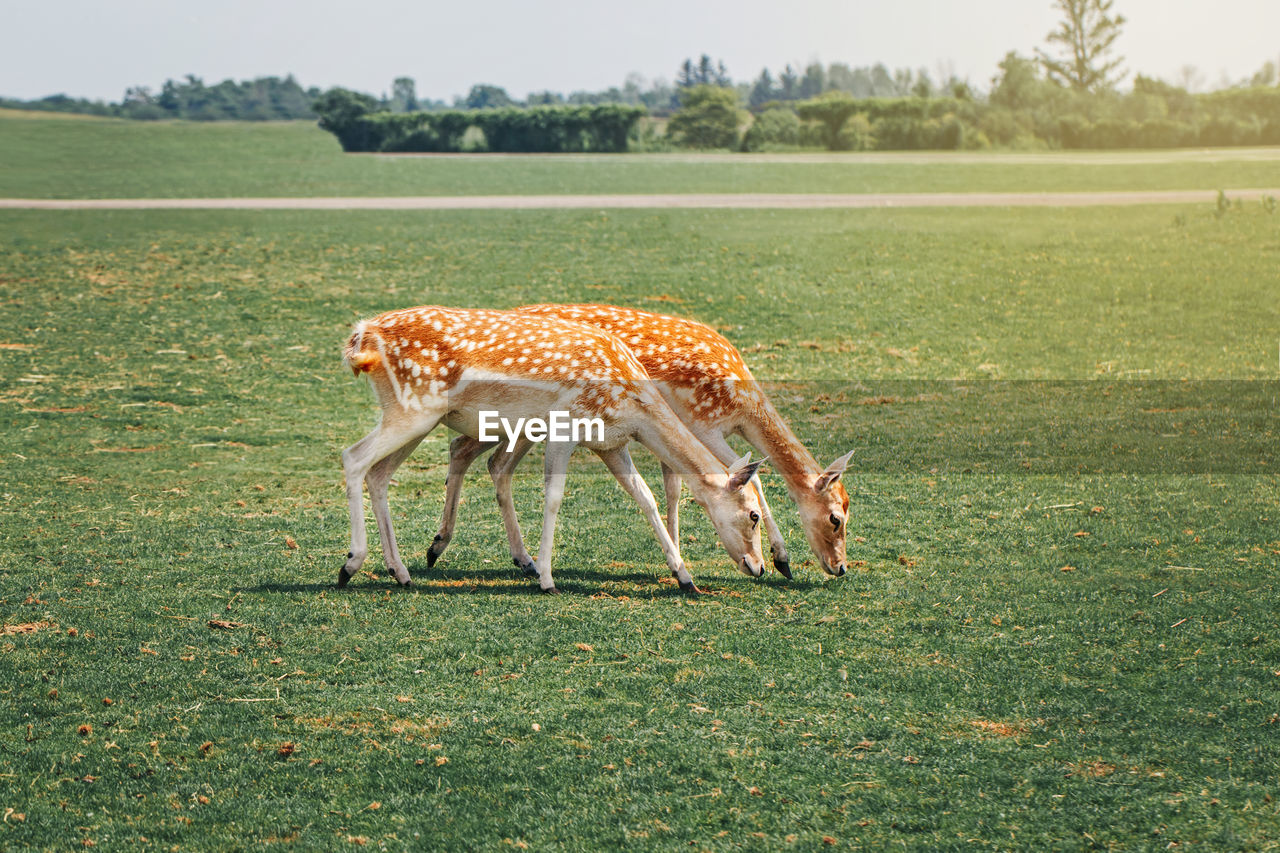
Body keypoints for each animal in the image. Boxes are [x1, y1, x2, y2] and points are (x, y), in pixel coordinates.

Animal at [335, 303, 762, 591]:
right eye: (755, 514)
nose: (758, 567)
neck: (634, 407)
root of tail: (362, 336)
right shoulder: (565, 426)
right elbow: (554, 496)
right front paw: (546, 578)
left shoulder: (609, 443)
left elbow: (645, 497)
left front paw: (684, 576)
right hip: (413, 410)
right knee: (354, 457)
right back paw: (350, 565)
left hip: (415, 415)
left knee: (379, 474)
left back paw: (401, 572)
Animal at [424, 303, 855, 578]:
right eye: (836, 519)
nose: (841, 568)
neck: (742, 406)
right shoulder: (702, 423)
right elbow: (753, 480)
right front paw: (782, 560)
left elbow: (673, 489)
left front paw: (678, 558)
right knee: (474, 453)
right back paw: (446, 547)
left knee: (476, 455)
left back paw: (489, 553)